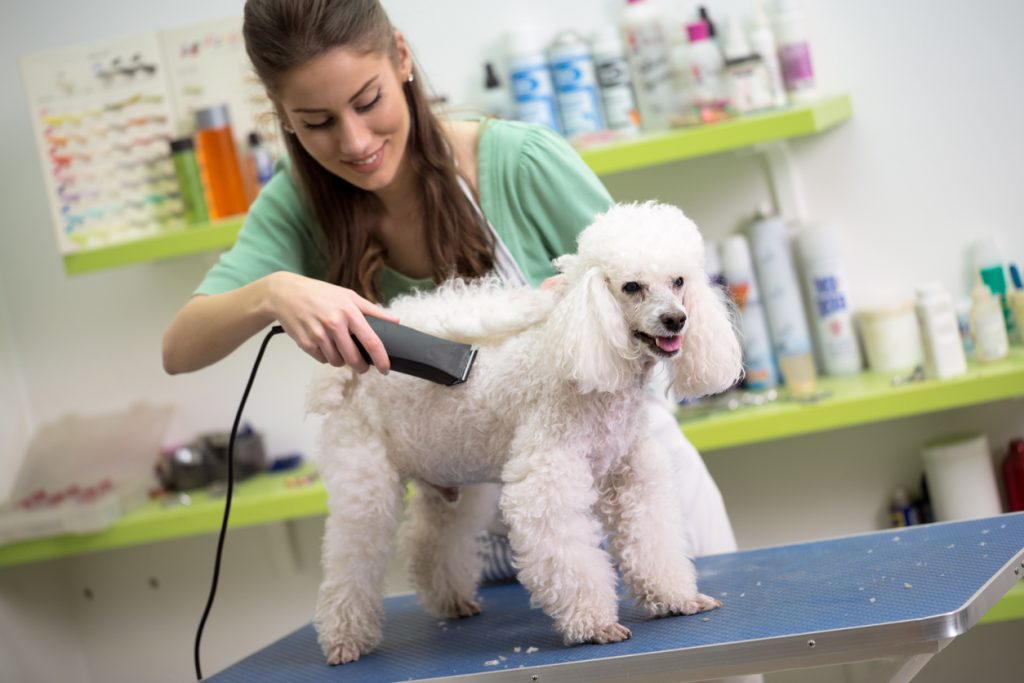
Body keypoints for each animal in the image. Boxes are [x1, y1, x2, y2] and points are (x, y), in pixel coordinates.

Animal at [303, 200, 745, 663]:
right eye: (631, 287)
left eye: (678, 281)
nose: (676, 319)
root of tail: (350, 371)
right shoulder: (548, 478)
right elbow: (569, 556)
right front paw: (594, 624)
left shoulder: (632, 474)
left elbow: (652, 539)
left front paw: (676, 599)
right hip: (365, 484)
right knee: (351, 558)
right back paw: (344, 638)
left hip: (451, 476)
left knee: (430, 540)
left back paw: (451, 600)